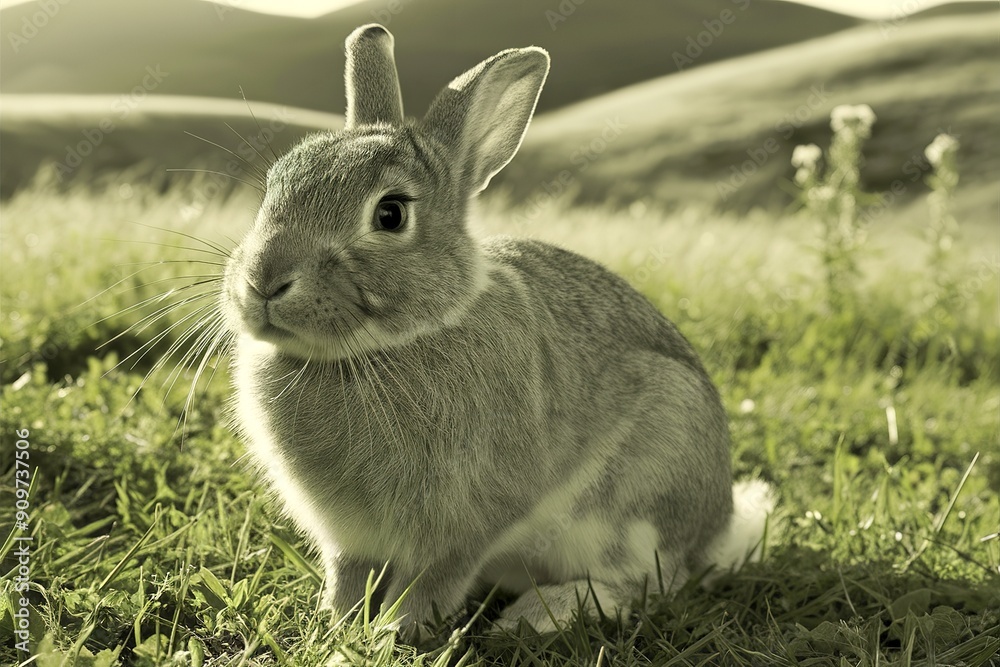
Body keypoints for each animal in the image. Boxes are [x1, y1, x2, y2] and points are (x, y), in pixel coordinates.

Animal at [221, 23, 775, 636]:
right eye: (273, 186)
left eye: (390, 214)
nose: (264, 281)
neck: (387, 345)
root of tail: (716, 531)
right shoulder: (350, 540)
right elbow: (348, 575)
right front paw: (337, 624)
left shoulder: (468, 521)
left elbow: (433, 580)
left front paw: (394, 632)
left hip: (641, 494)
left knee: (649, 583)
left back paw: (538, 614)